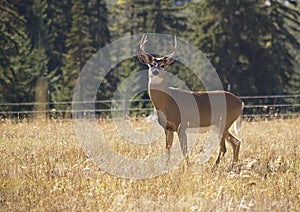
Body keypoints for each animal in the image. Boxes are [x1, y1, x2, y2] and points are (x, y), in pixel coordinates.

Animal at [138, 34, 244, 167]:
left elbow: (184, 151)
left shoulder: (181, 124)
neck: (166, 102)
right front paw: (166, 167)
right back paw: (234, 167)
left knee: (224, 148)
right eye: (151, 64)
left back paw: (214, 167)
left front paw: (188, 167)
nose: (155, 71)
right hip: (219, 125)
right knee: (236, 142)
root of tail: (241, 102)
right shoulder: (167, 127)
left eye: (163, 65)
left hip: (225, 122)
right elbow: (167, 150)